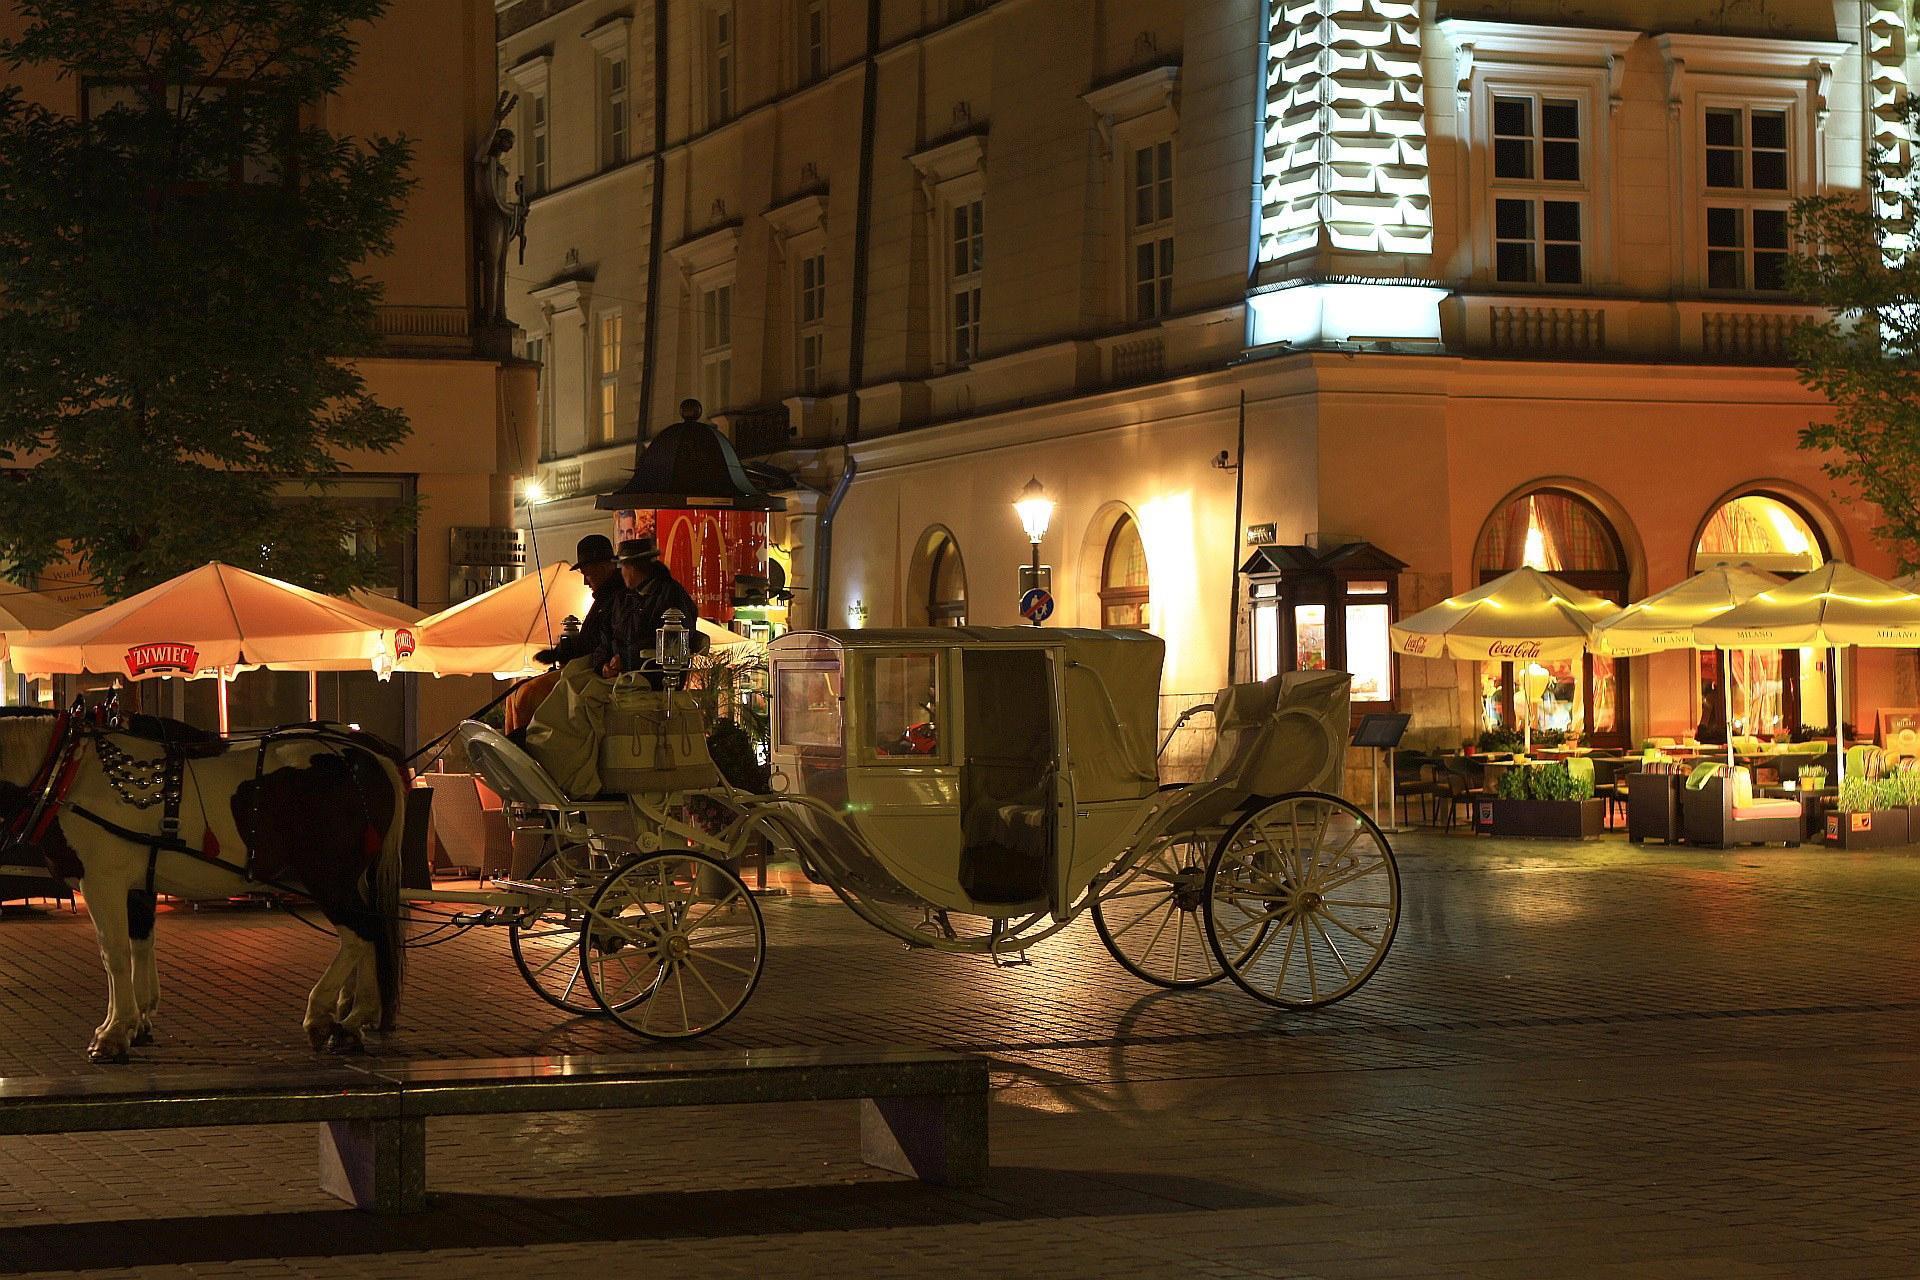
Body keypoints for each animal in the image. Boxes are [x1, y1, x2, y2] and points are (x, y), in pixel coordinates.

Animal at [0, 717, 405, 1066]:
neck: (68, 770)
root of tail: (373, 757)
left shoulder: (103, 882)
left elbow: (112, 954)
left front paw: (112, 1035)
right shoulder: (136, 887)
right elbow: (137, 947)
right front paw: (136, 1023)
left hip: (327, 878)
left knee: (359, 934)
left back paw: (326, 1016)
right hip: (350, 879)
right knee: (372, 933)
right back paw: (354, 1021)